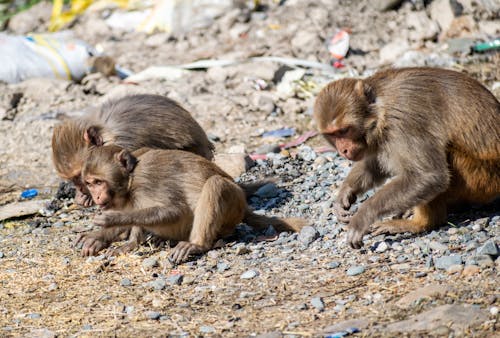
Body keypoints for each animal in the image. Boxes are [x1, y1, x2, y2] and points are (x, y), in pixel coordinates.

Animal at [78, 145, 304, 262]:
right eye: (89, 183)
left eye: (98, 182)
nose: (95, 197)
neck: (130, 180)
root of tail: (245, 208)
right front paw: (112, 238)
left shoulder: (147, 181)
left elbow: (175, 210)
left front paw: (112, 219)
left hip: (234, 206)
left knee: (215, 184)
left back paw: (196, 244)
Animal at [314, 67, 500, 247]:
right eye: (332, 135)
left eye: (344, 131)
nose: (343, 150)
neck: (381, 108)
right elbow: (375, 165)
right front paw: (346, 192)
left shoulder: (403, 122)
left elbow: (429, 176)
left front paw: (363, 216)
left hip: (480, 179)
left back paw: (420, 223)